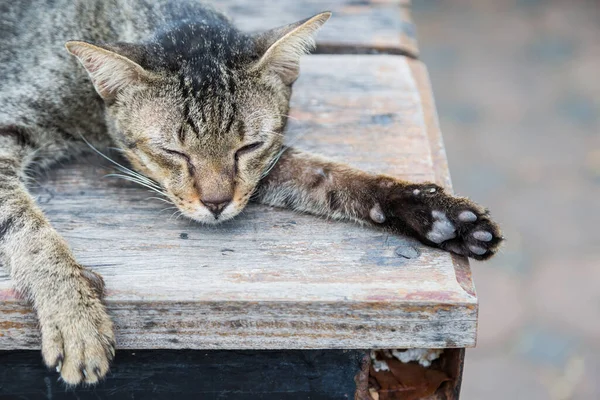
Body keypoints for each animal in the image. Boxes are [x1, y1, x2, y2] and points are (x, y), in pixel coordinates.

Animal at [1, 0, 502, 388]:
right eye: (173, 151)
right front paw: (73, 312)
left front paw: (436, 213)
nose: (216, 204)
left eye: (248, 147)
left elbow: (327, 176)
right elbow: (27, 228)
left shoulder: (269, 165)